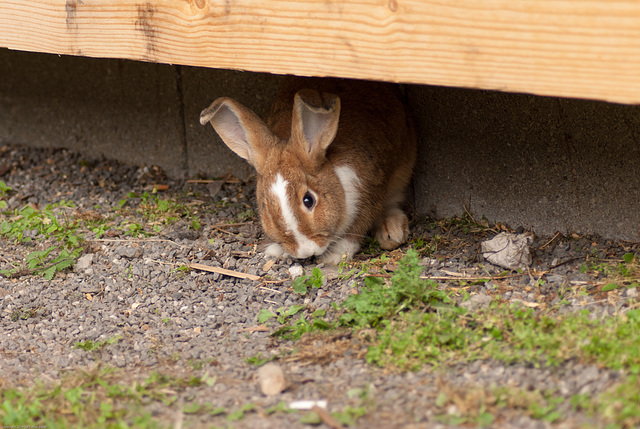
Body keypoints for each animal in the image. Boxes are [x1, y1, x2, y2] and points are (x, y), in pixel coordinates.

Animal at [202, 77, 418, 264]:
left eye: (309, 200)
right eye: (266, 209)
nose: (305, 252)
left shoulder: (367, 195)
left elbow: (354, 233)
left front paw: (332, 257)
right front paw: (276, 251)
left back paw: (392, 230)